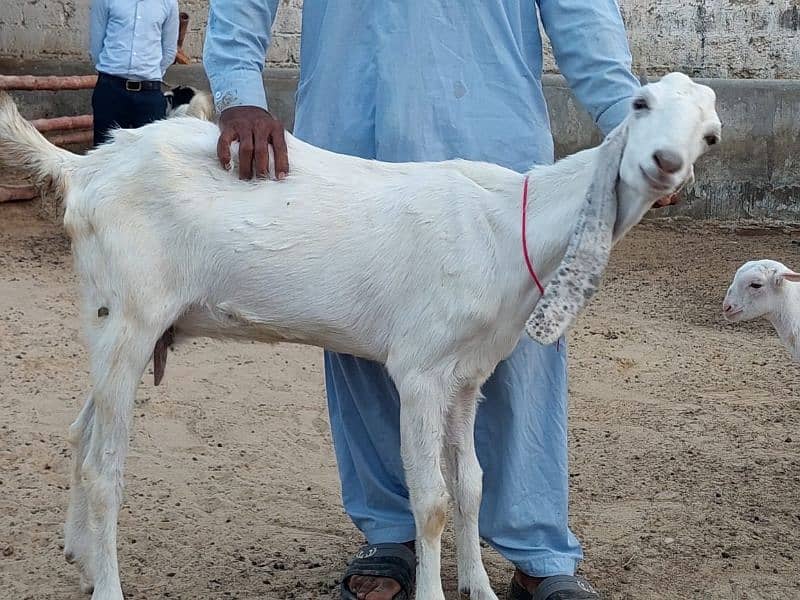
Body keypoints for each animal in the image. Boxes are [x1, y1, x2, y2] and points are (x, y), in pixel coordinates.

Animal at [0, 71, 720, 600]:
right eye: (640, 103)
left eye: (710, 136)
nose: (664, 162)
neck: (506, 223)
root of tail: (85, 170)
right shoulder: (420, 369)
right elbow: (431, 500)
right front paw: (434, 591)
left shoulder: (468, 375)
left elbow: (472, 484)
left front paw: (481, 588)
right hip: (126, 316)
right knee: (103, 468)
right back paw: (107, 584)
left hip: (128, 328)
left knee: (80, 434)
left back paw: (81, 557)